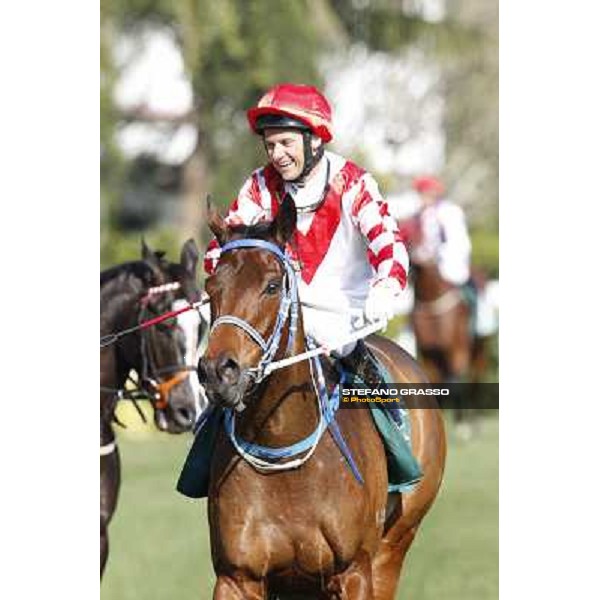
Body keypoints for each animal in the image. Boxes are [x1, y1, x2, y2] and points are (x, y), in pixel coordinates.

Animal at [197, 199, 446, 596]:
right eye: (211, 287)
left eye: (271, 286)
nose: (219, 371)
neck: (284, 445)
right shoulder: (237, 577)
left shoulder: (354, 571)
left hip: (394, 545)